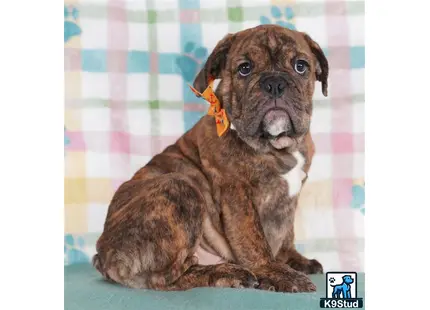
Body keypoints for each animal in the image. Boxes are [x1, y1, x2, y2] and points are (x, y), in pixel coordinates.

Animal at [93, 24, 330, 294]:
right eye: (244, 68)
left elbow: (287, 231)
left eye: (301, 66)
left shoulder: (290, 200)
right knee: (168, 278)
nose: (275, 83)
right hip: (179, 187)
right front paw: (276, 271)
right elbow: (253, 239)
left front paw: (293, 259)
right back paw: (226, 273)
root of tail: (104, 256)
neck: (277, 146)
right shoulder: (237, 192)